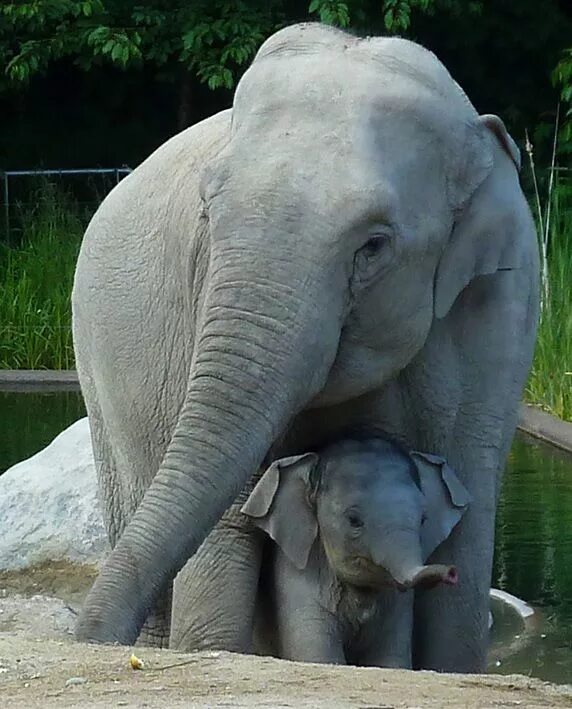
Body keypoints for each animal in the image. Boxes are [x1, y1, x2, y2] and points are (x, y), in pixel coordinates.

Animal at [241, 432, 470, 668]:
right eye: (353, 520)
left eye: (424, 519)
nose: (451, 572)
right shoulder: (294, 576)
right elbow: (317, 655)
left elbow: (391, 658)